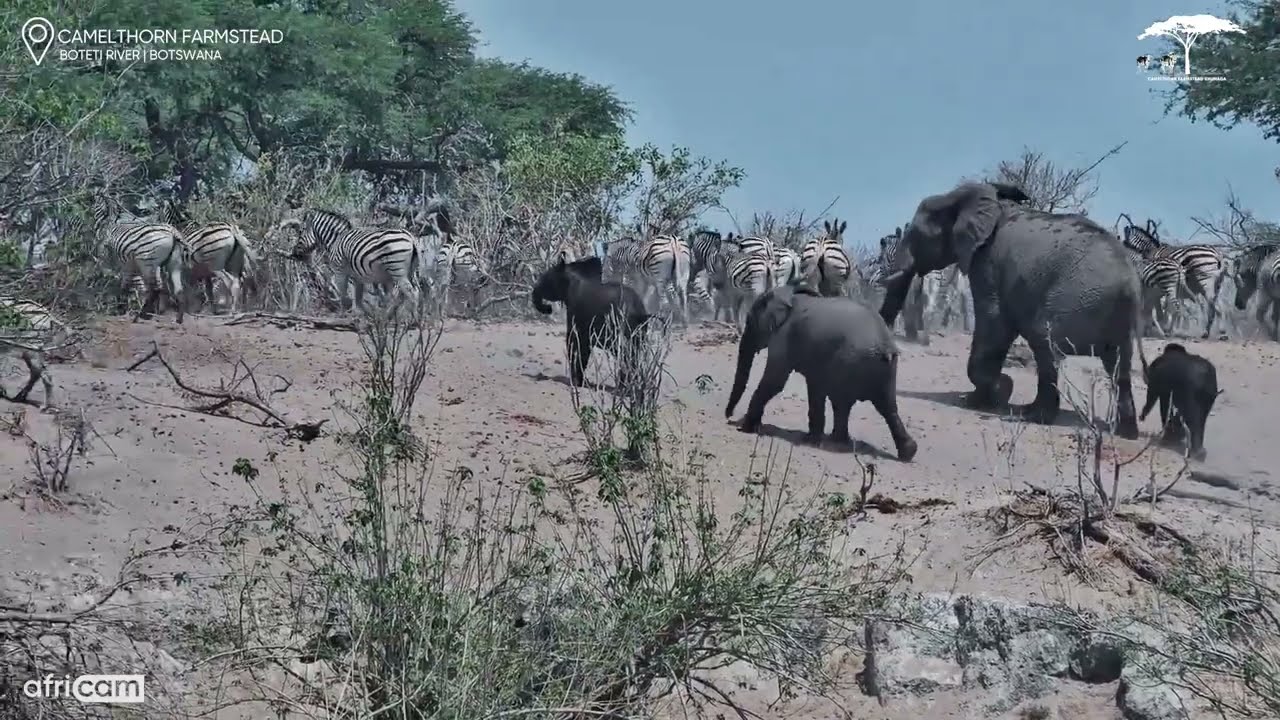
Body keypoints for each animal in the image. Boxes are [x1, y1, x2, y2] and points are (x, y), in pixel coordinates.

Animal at [279, 208, 419, 316]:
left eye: (300, 232)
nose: (294, 254)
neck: (335, 239)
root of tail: (411, 237)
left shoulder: (339, 271)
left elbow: (343, 295)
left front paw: (342, 314)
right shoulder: (358, 277)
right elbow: (358, 299)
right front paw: (360, 316)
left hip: (398, 271)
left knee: (412, 294)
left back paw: (412, 319)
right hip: (408, 272)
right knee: (406, 295)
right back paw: (391, 317)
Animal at [531, 255, 654, 387]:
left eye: (547, 278)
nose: (549, 309)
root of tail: (640, 312)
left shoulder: (577, 321)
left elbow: (576, 347)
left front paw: (577, 383)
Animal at [724, 283, 918, 461]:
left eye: (749, 321)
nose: (729, 416)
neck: (787, 293)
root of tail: (885, 345)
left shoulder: (784, 335)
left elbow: (775, 380)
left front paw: (745, 428)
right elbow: (814, 387)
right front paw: (811, 438)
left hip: (849, 361)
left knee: (842, 402)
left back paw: (834, 442)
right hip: (884, 369)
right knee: (887, 406)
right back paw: (907, 452)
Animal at [879, 181, 1149, 438]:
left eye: (916, 234)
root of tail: (1130, 284)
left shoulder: (987, 261)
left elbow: (994, 321)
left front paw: (994, 394)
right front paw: (987, 396)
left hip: (1077, 299)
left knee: (1044, 343)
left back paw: (1033, 416)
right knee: (1119, 366)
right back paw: (1126, 432)